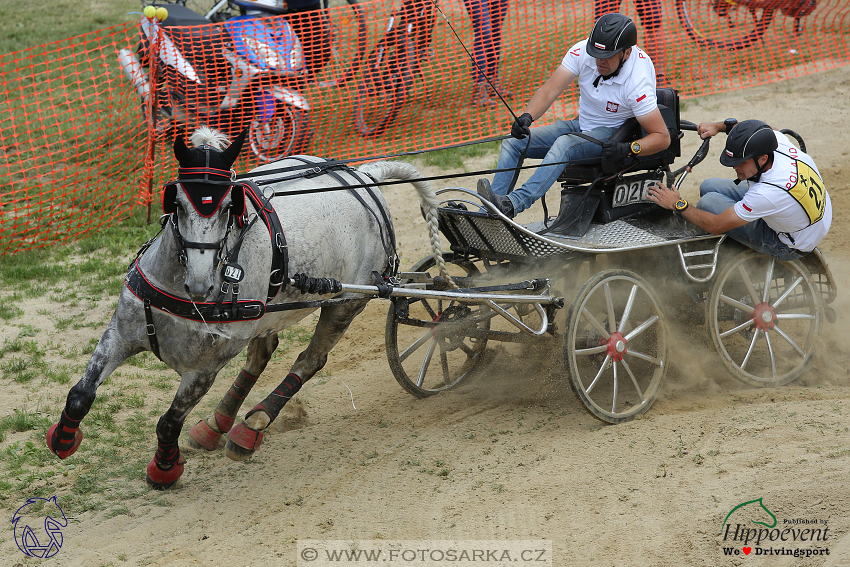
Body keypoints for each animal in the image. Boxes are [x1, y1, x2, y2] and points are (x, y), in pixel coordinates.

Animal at [47, 127, 448, 488]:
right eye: (177, 203)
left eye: (228, 206)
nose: (201, 283)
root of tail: (364, 176)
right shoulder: (120, 333)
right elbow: (80, 394)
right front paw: (64, 438)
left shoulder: (203, 370)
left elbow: (168, 422)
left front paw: (164, 470)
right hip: (265, 314)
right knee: (261, 353)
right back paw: (216, 425)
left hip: (346, 303)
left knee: (310, 360)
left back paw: (253, 424)